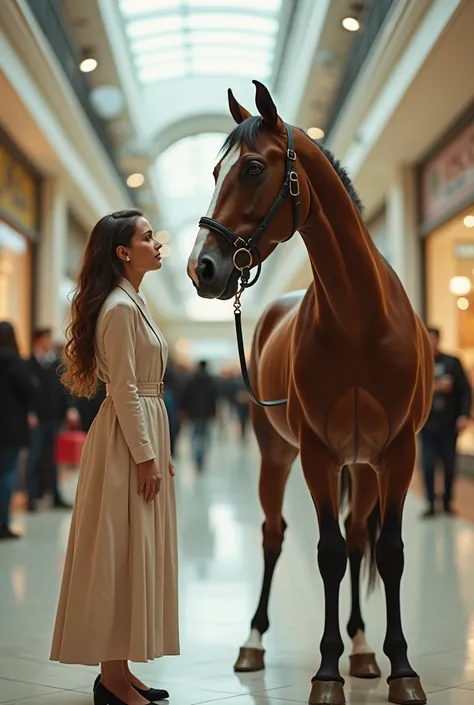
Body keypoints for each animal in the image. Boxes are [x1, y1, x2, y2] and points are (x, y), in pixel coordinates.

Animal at [187, 82, 432, 704]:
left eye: (252, 168)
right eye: (216, 169)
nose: (202, 268)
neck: (360, 319)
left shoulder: (398, 453)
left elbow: (387, 553)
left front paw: (400, 668)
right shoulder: (317, 455)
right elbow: (326, 555)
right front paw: (326, 671)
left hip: (363, 467)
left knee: (358, 537)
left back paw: (363, 650)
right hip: (277, 455)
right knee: (274, 536)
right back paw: (253, 642)